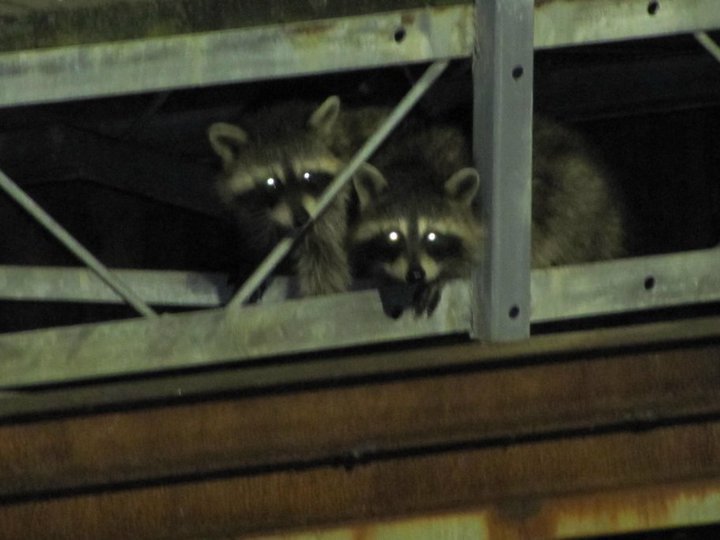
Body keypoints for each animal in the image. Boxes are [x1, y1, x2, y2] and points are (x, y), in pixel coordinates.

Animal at [208, 96, 387, 297]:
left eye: (307, 175)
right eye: (271, 182)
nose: (301, 218)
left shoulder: (332, 199)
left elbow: (325, 254)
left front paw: (321, 293)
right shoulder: (251, 206)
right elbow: (256, 233)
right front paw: (253, 260)